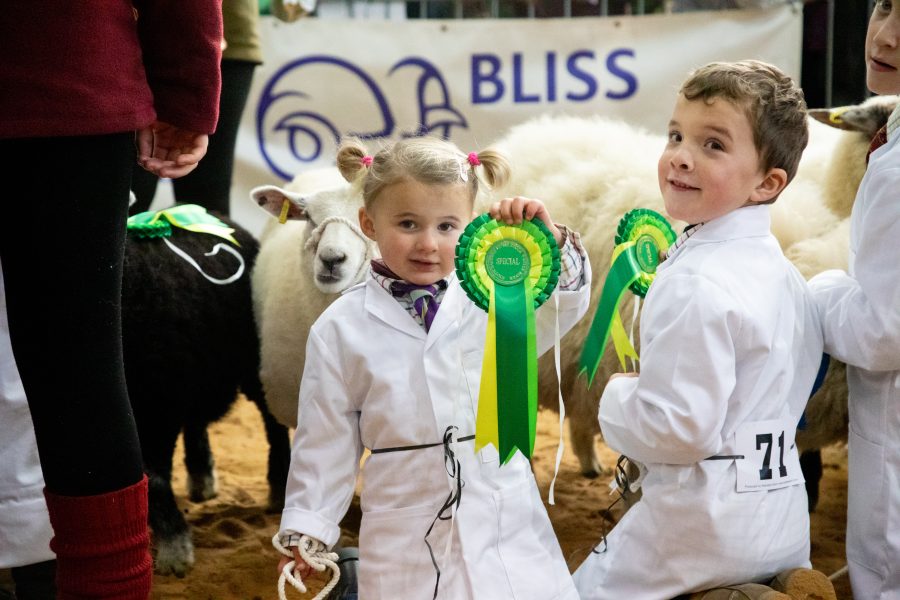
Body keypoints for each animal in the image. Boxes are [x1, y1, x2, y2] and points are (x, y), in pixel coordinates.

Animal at [123, 207, 290, 576]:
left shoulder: (158, 403)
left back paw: (279, 488)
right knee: (197, 420)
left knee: (273, 420)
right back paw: (201, 477)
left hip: (251, 362)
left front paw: (174, 553)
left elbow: (155, 478)